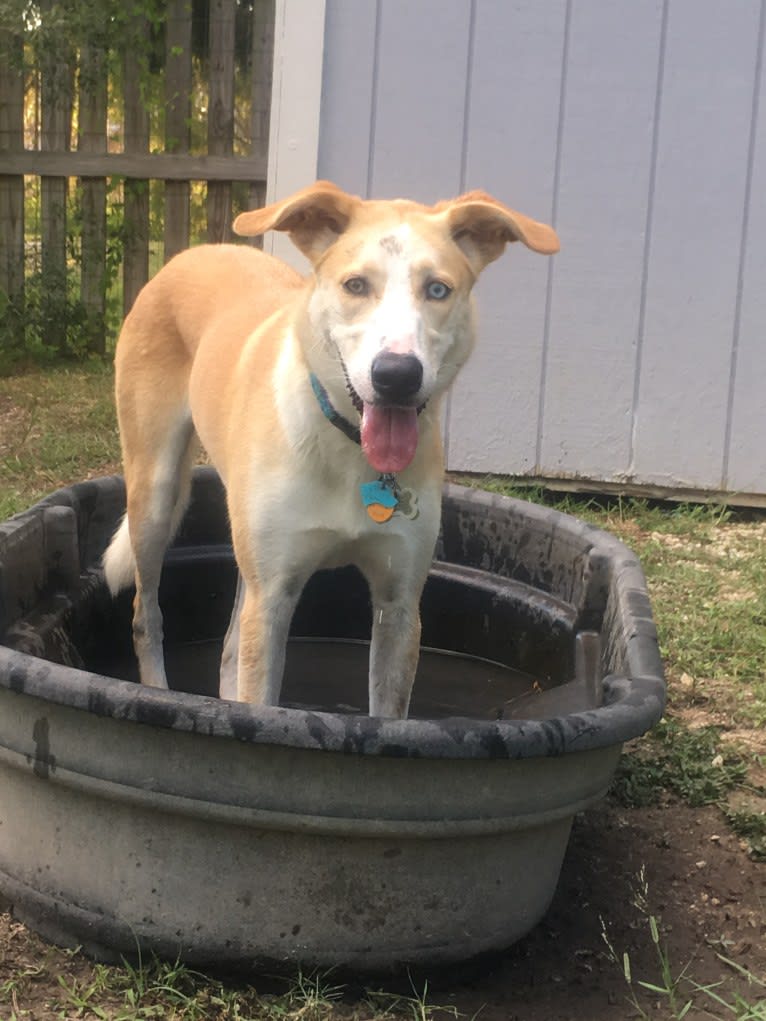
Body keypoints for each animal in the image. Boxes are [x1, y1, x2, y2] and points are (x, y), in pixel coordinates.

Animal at [103, 183, 559, 722]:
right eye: (355, 285)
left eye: (438, 290)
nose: (397, 375)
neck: (349, 448)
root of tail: (193, 253)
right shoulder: (273, 599)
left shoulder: (399, 603)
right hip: (156, 497)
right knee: (145, 615)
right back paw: (155, 691)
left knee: (230, 649)